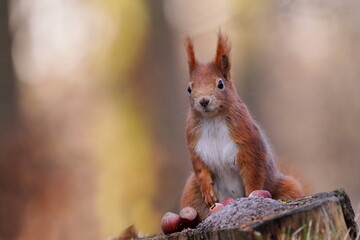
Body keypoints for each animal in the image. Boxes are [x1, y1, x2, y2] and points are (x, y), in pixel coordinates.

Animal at [180, 32, 304, 220]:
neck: (212, 119)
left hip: (284, 185)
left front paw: (253, 194)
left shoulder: (248, 141)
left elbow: (253, 172)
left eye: (220, 84)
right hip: (191, 192)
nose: (203, 101)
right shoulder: (194, 144)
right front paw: (207, 190)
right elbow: (200, 168)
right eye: (189, 88)